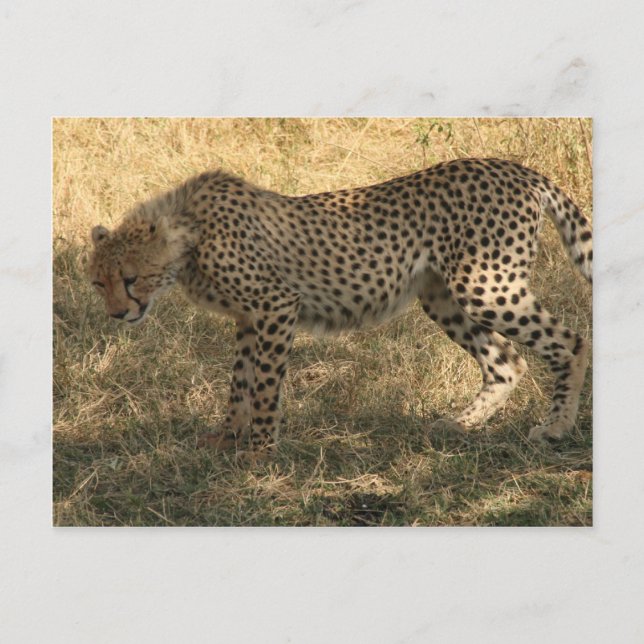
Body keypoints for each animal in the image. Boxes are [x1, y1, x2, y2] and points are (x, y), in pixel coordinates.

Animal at [88, 158, 592, 459]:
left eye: (130, 279)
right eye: (99, 283)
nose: (117, 315)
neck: (189, 231)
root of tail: (518, 169)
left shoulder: (276, 306)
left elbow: (264, 386)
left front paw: (260, 451)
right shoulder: (249, 319)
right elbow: (239, 382)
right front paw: (227, 436)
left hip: (485, 287)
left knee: (570, 341)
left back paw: (556, 428)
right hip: (444, 296)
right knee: (506, 363)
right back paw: (459, 424)